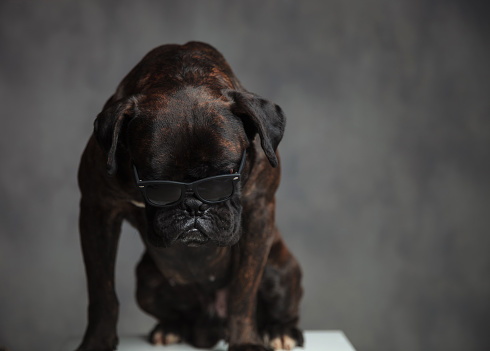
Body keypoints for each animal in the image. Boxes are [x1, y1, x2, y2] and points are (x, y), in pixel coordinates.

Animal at [76, 42, 302, 351]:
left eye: (226, 177)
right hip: (146, 281)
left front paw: (246, 341)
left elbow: (243, 292)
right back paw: (171, 328)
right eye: (155, 184)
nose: (194, 206)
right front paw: (97, 341)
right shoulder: (97, 212)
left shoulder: (259, 212)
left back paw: (281, 331)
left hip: (278, 269)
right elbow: (102, 291)